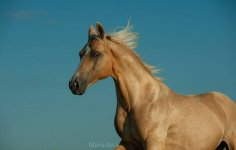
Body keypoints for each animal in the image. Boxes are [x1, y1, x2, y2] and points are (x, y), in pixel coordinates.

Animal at [68, 21, 236, 149]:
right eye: (80, 53)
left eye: (96, 53)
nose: (74, 84)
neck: (139, 101)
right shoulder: (127, 142)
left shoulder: (153, 142)